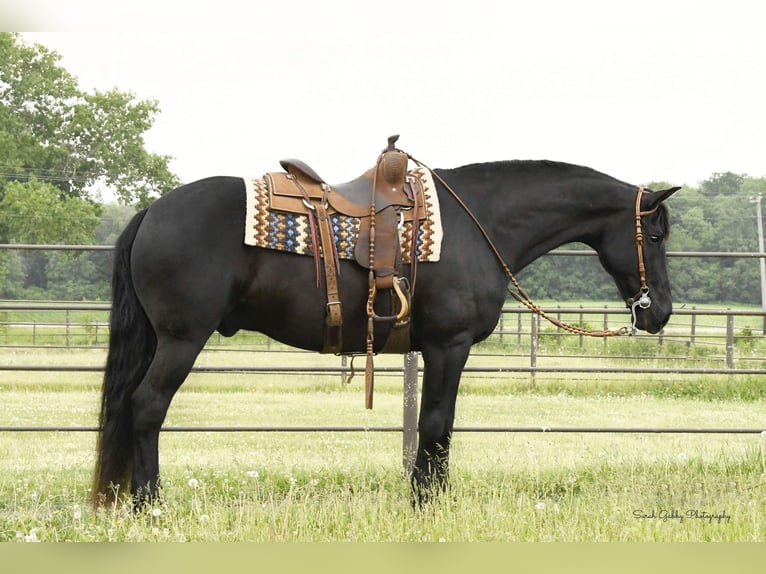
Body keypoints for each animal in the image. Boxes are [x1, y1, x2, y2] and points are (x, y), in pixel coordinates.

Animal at [94, 156, 680, 508]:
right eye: (654, 234)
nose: (660, 312)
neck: (480, 224)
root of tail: (151, 212)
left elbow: (436, 425)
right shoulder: (448, 346)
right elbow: (436, 424)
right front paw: (427, 501)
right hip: (180, 339)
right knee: (147, 406)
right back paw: (150, 503)